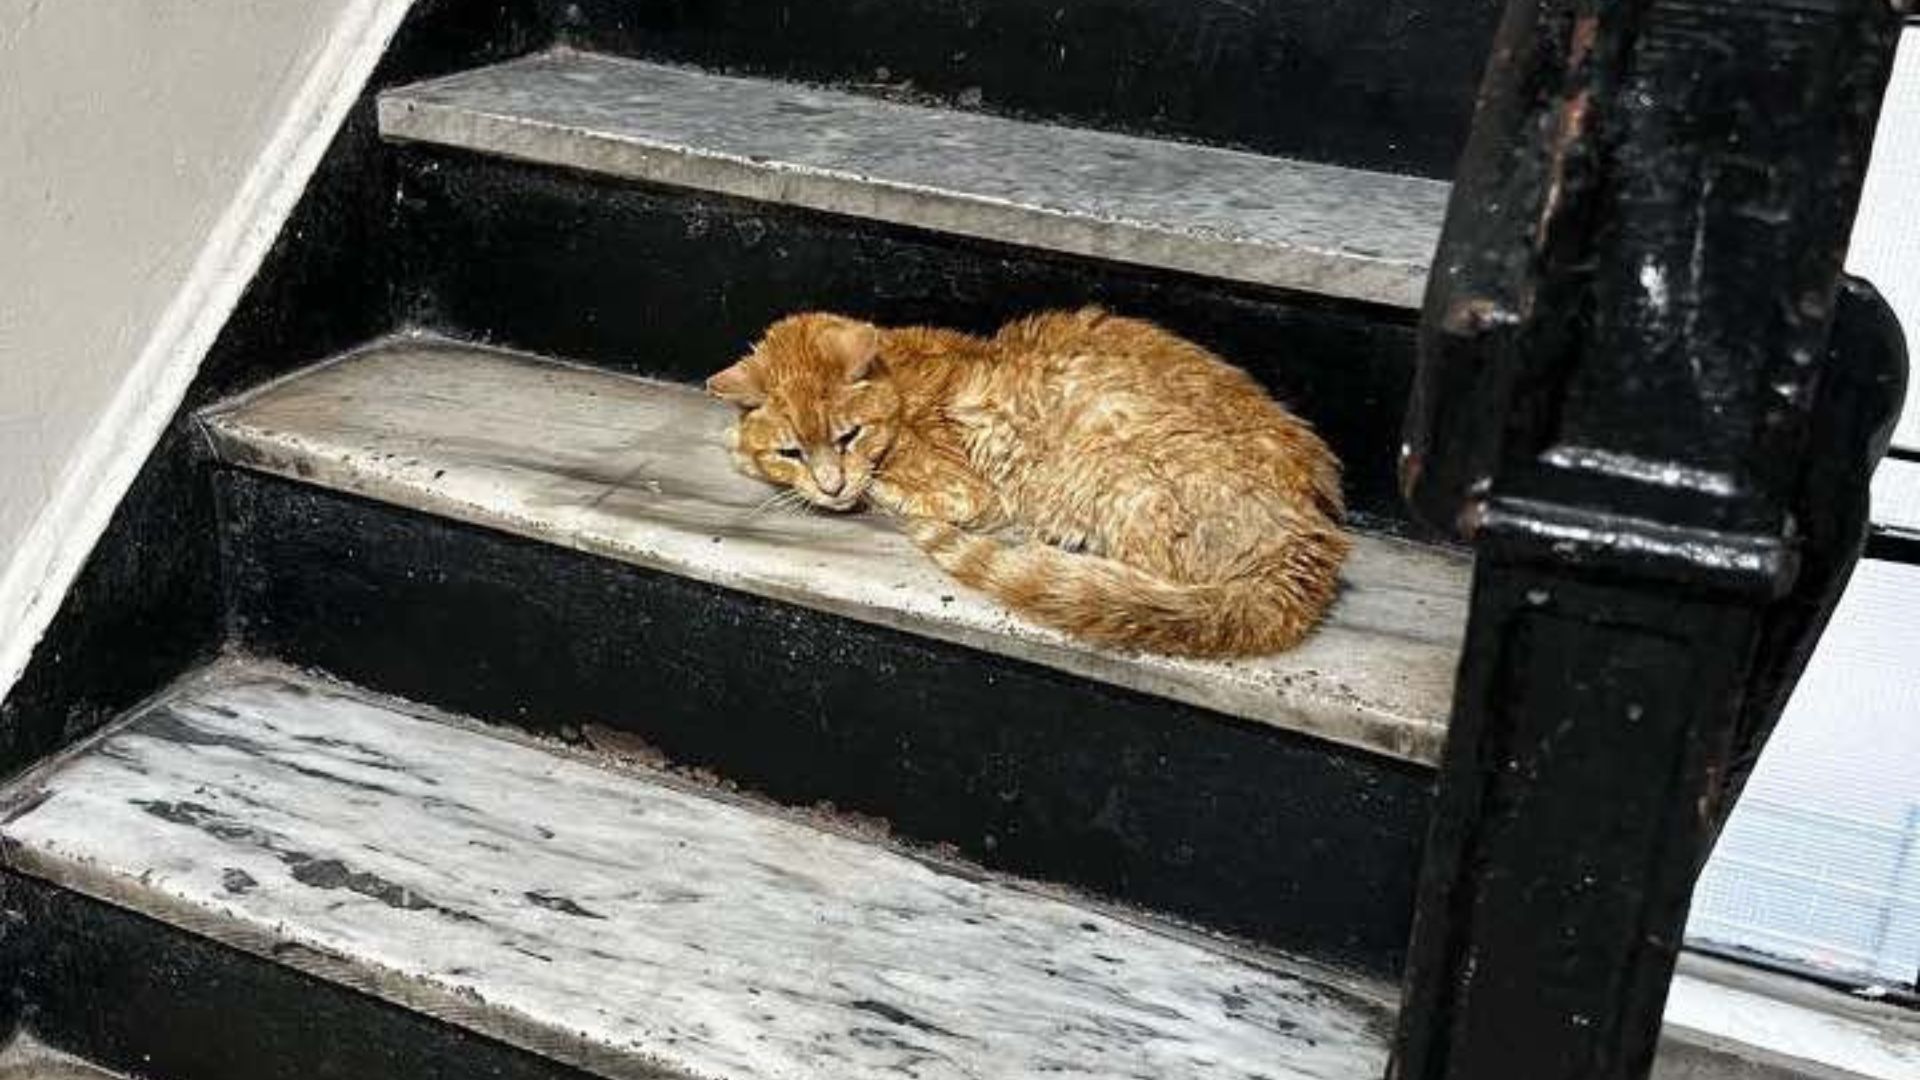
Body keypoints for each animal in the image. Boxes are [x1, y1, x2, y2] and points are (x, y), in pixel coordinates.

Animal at [706, 305, 1351, 657]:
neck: (901, 385)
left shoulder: (963, 490)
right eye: (792, 450)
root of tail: (1310, 540)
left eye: (849, 436)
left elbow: (894, 492)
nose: (831, 485)